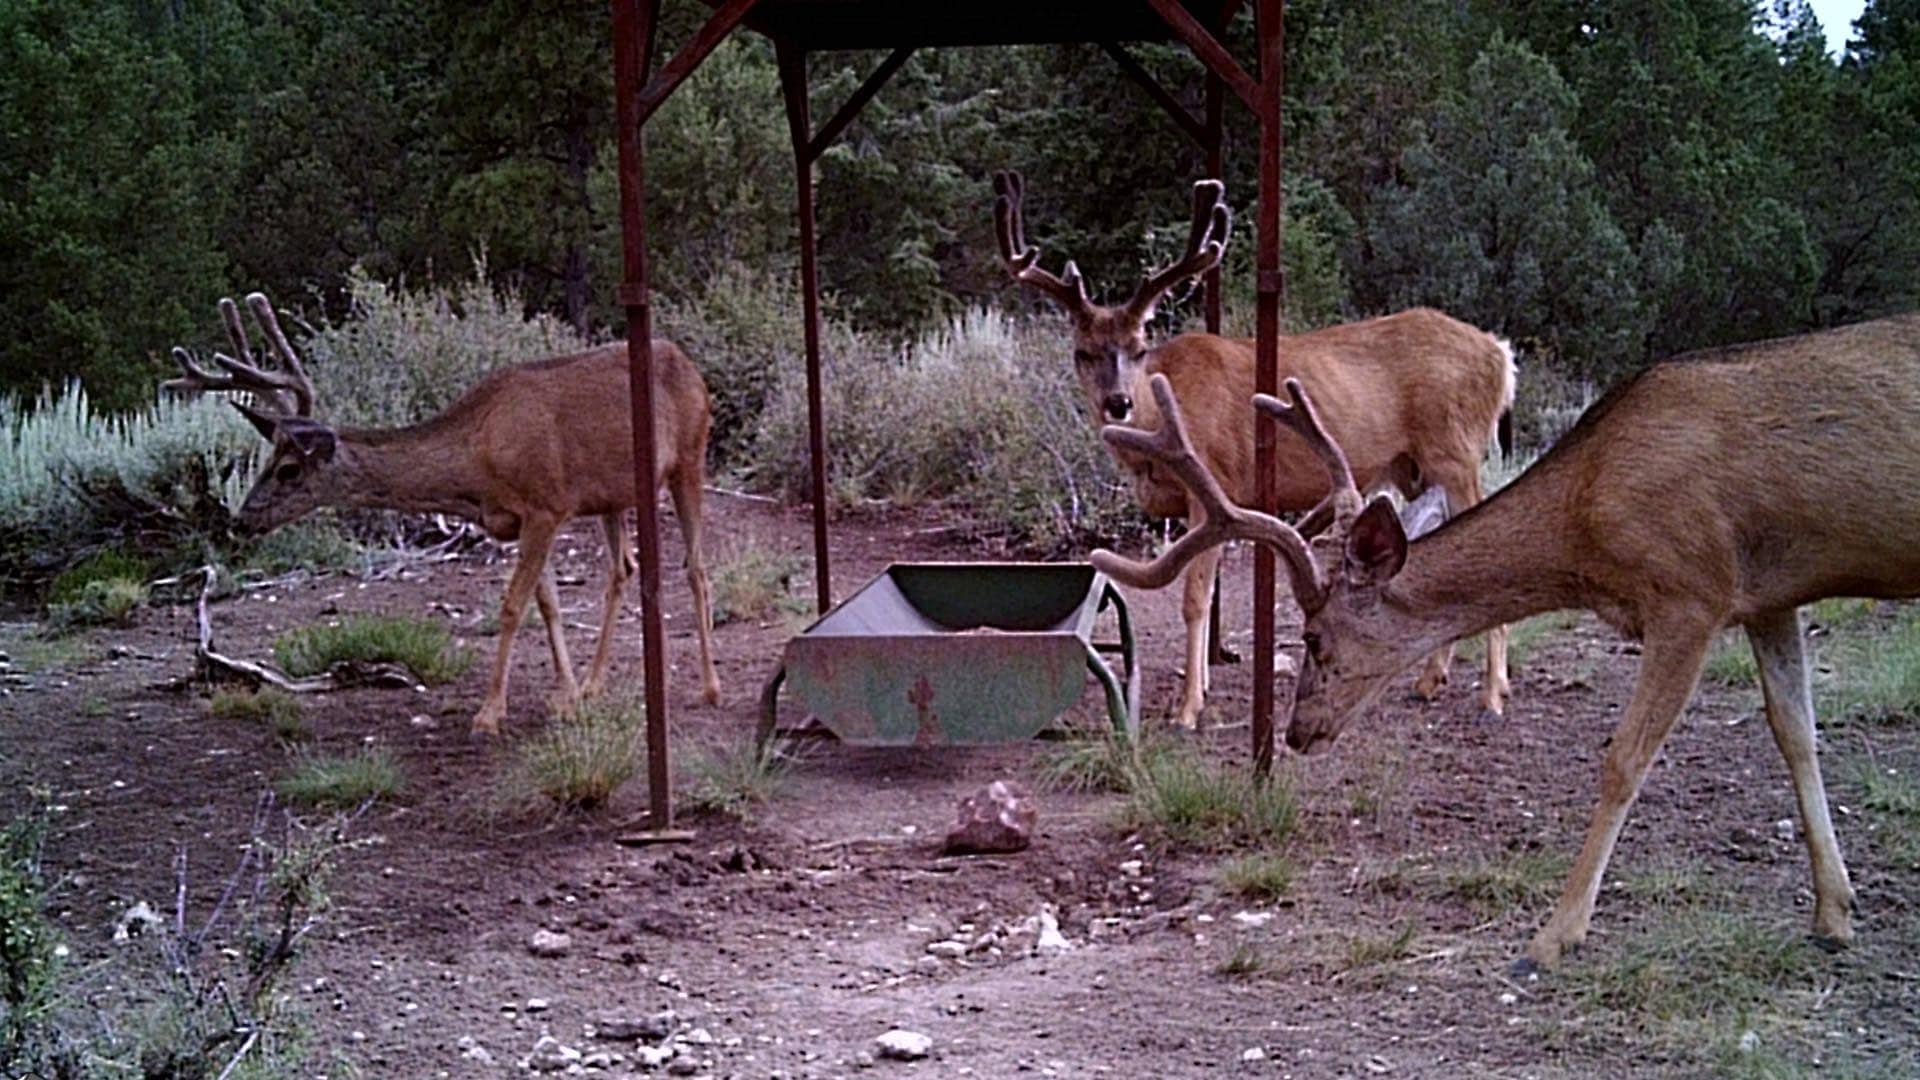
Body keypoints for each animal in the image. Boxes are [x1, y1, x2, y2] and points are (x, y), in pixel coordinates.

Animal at [166, 293, 720, 737]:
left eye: (287, 469)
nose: (240, 520)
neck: (477, 459)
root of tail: (690, 365)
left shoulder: (547, 505)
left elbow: (512, 607)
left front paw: (490, 714)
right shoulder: (518, 521)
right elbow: (547, 604)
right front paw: (565, 696)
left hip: (690, 457)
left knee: (695, 566)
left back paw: (710, 687)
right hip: (612, 494)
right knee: (622, 570)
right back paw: (594, 684)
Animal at [993, 171, 1514, 728]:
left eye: (1138, 347)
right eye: (1083, 352)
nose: (1118, 402)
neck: (1162, 413)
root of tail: (1501, 353)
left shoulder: (1214, 481)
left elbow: (1195, 597)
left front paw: (1188, 707)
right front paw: (1199, 684)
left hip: (1457, 451)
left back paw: (1493, 693)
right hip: (1416, 467)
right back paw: (1431, 680)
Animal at [1092, 311, 1920, 968]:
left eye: (1318, 637)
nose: (1297, 733)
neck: (1588, 521)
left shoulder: (1694, 590)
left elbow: (1623, 760)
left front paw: (1554, 936)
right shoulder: (1770, 596)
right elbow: (1797, 734)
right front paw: (1834, 913)